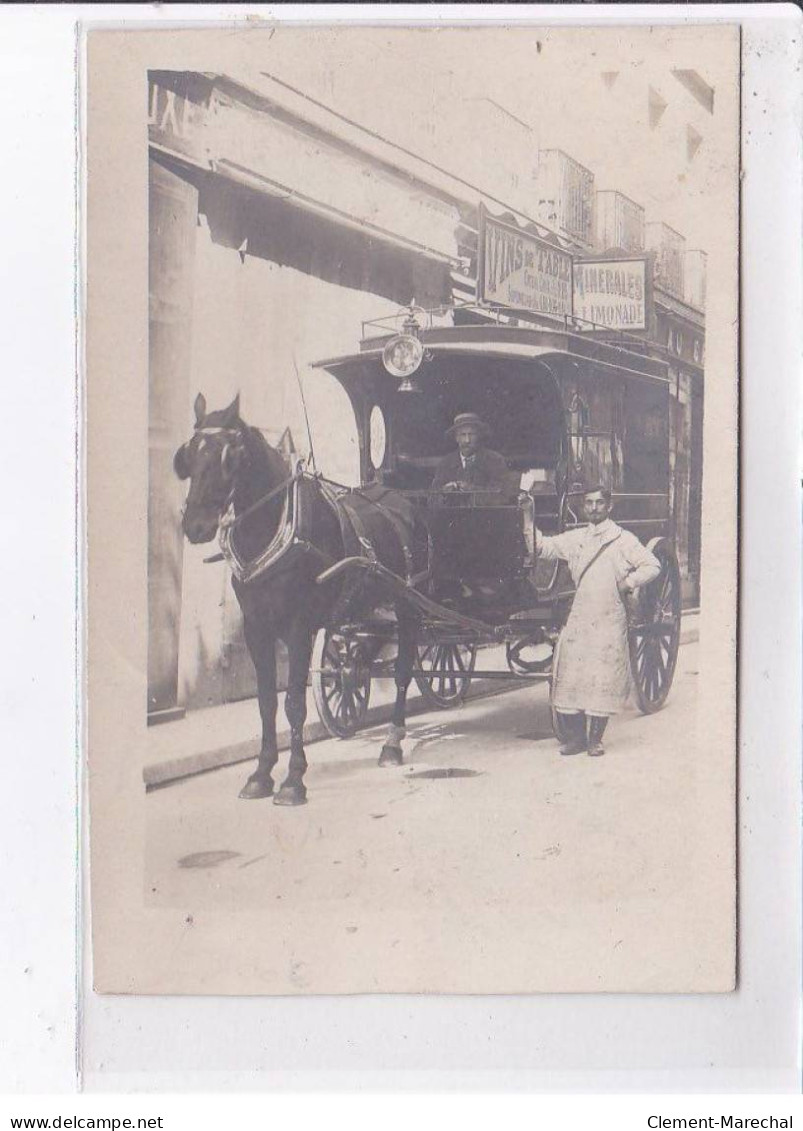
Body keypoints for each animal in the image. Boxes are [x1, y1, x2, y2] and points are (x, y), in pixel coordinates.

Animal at [174, 393, 427, 809]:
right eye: (188, 455)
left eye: (229, 457)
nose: (195, 526)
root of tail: (399, 499)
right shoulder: (255, 627)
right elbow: (267, 702)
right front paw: (261, 774)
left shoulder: (298, 626)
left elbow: (293, 702)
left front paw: (293, 780)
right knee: (362, 658)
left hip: (409, 605)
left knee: (405, 670)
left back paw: (392, 742)